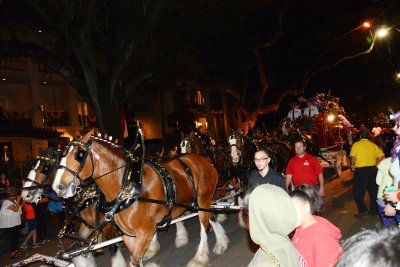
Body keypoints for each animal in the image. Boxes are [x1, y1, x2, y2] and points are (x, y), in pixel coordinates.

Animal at [52, 129, 228, 266]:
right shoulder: (128, 235)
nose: (58, 187)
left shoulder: (146, 231)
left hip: (204, 198)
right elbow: (133, 259)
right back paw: (221, 243)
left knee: (204, 227)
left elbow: (134, 260)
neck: (126, 188)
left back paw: (199, 258)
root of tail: (203, 160)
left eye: (79, 155)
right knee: (211, 217)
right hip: (200, 202)